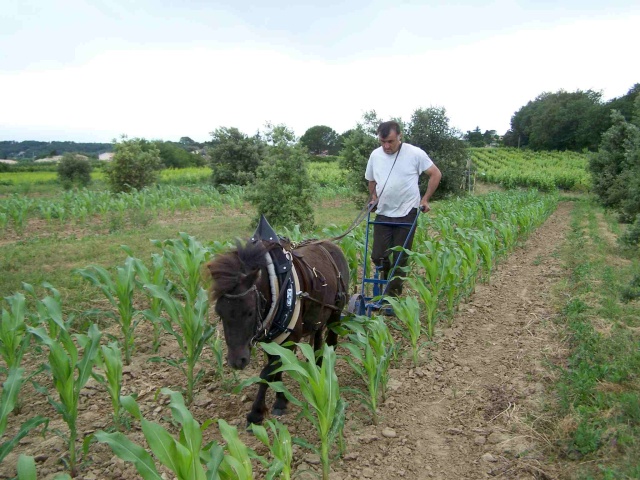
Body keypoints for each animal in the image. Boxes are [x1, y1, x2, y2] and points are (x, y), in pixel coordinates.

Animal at [206, 239, 348, 424]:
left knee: (331, 342)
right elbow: (278, 368)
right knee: (317, 339)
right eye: (219, 312)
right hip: (320, 314)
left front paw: (256, 413)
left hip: (336, 313)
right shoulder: (271, 341)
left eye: (250, 312)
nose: (237, 361)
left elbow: (267, 373)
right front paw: (281, 401)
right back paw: (317, 369)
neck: (278, 287)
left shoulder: (291, 340)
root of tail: (330, 244)